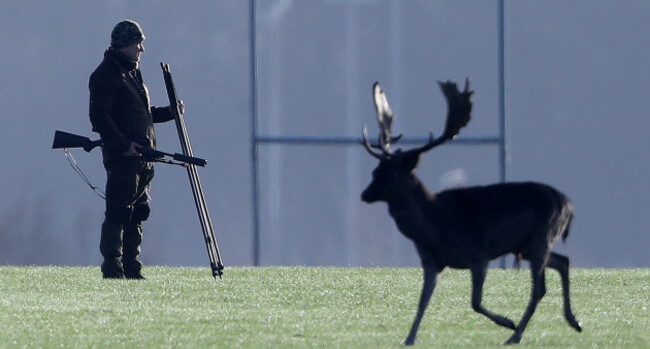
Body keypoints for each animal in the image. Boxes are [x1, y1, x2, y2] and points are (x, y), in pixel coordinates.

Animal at [360, 80, 584, 344]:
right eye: (375, 170)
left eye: (388, 173)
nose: (364, 194)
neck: (434, 227)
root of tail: (569, 206)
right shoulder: (431, 261)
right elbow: (423, 302)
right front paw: (409, 339)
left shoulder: (478, 254)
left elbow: (475, 302)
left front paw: (507, 321)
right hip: (526, 246)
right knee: (563, 261)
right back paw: (573, 321)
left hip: (542, 235)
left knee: (539, 287)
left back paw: (516, 334)